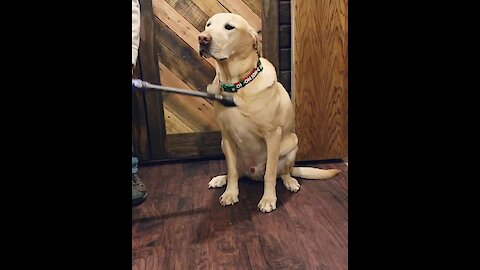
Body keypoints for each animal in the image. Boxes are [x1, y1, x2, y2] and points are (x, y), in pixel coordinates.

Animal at [197, 13, 340, 213]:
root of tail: (253, 173)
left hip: (292, 145)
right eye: (208, 25)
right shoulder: (227, 137)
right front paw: (231, 193)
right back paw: (220, 179)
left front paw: (268, 199)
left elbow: (270, 174)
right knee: (237, 172)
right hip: (224, 146)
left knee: (283, 172)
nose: (202, 38)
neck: (236, 86)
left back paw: (290, 182)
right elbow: (232, 172)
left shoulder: (272, 136)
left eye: (229, 27)